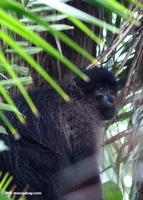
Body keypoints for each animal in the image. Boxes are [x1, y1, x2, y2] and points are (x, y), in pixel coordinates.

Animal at [0, 66, 117, 199]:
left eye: (112, 91)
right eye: (101, 88)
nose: (112, 99)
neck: (77, 95)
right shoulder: (82, 117)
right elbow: (85, 169)